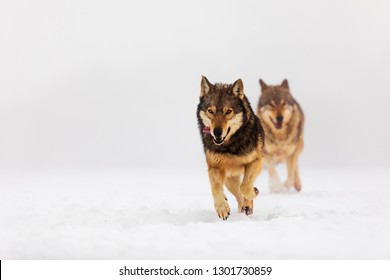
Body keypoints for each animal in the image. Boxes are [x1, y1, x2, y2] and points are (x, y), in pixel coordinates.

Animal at [197, 75, 264, 220]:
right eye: (210, 111)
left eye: (228, 111)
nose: (217, 132)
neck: (230, 146)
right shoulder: (215, 167)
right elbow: (215, 187)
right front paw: (222, 208)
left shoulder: (255, 161)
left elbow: (246, 187)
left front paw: (254, 193)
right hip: (229, 180)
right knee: (238, 195)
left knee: (242, 189)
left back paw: (248, 205)